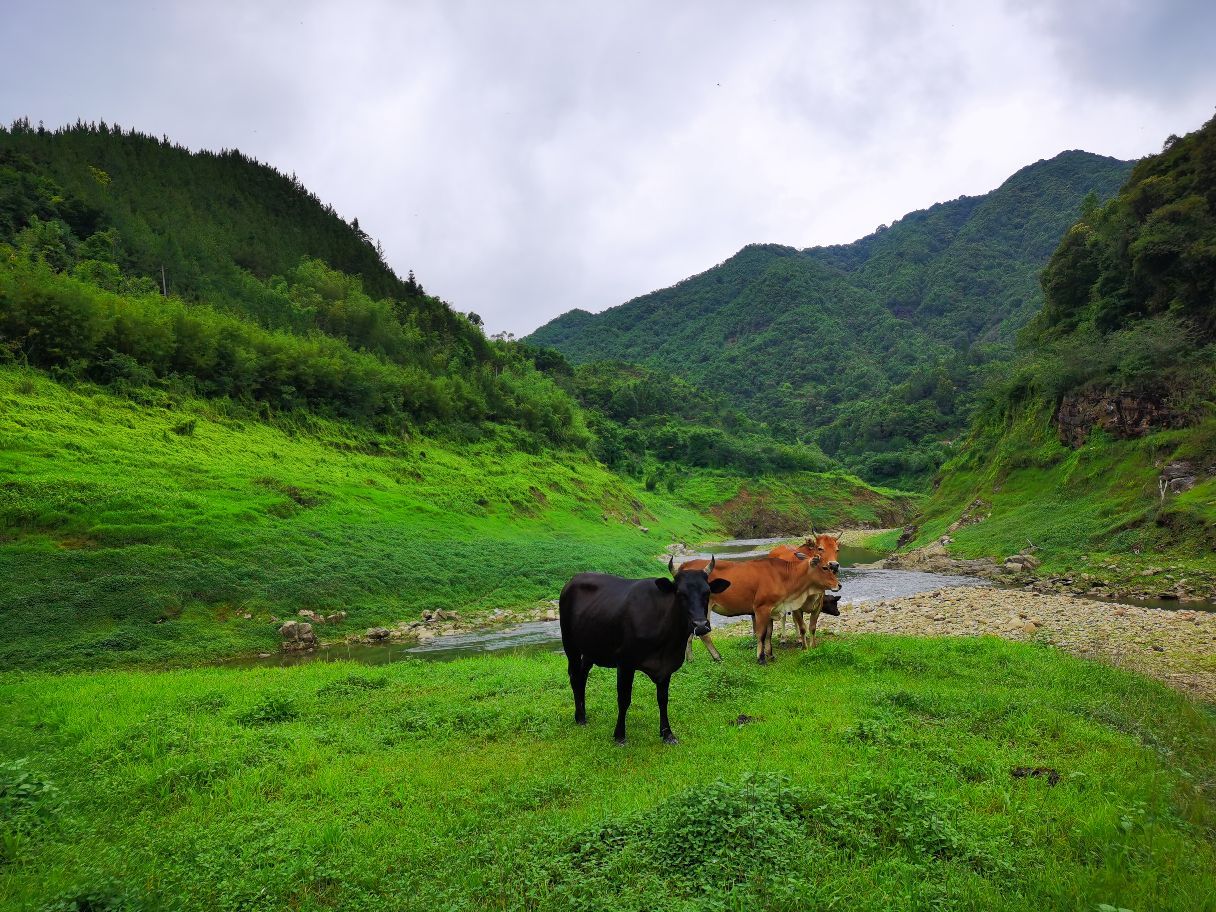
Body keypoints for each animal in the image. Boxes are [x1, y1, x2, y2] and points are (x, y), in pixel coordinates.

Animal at [559, 556, 729, 744]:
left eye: (707, 592)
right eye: (679, 593)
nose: (700, 625)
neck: (668, 643)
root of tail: (573, 580)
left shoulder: (667, 666)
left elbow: (663, 699)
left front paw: (667, 733)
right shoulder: (625, 663)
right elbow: (624, 698)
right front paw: (619, 735)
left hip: (591, 649)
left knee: (582, 675)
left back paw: (582, 714)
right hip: (570, 644)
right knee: (575, 676)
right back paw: (580, 717)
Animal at [680, 554, 841, 666]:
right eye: (825, 567)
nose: (839, 585)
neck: (784, 577)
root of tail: (685, 565)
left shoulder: (772, 609)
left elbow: (769, 633)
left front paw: (770, 654)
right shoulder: (761, 609)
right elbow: (761, 634)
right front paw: (761, 658)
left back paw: (690, 659)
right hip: (704, 608)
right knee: (704, 634)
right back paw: (717, 657)